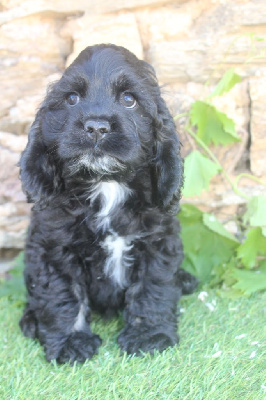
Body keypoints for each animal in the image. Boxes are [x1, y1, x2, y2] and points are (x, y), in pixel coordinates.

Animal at [19, 43, 197, 362]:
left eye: (129, 99)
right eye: (72, 98)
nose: (96, 127)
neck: (107, 183)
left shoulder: (157, 240)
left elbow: (153, 286)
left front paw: (148, 336)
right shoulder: (53, 247)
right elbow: (62, 295)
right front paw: (70, 343)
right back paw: (31, 321)